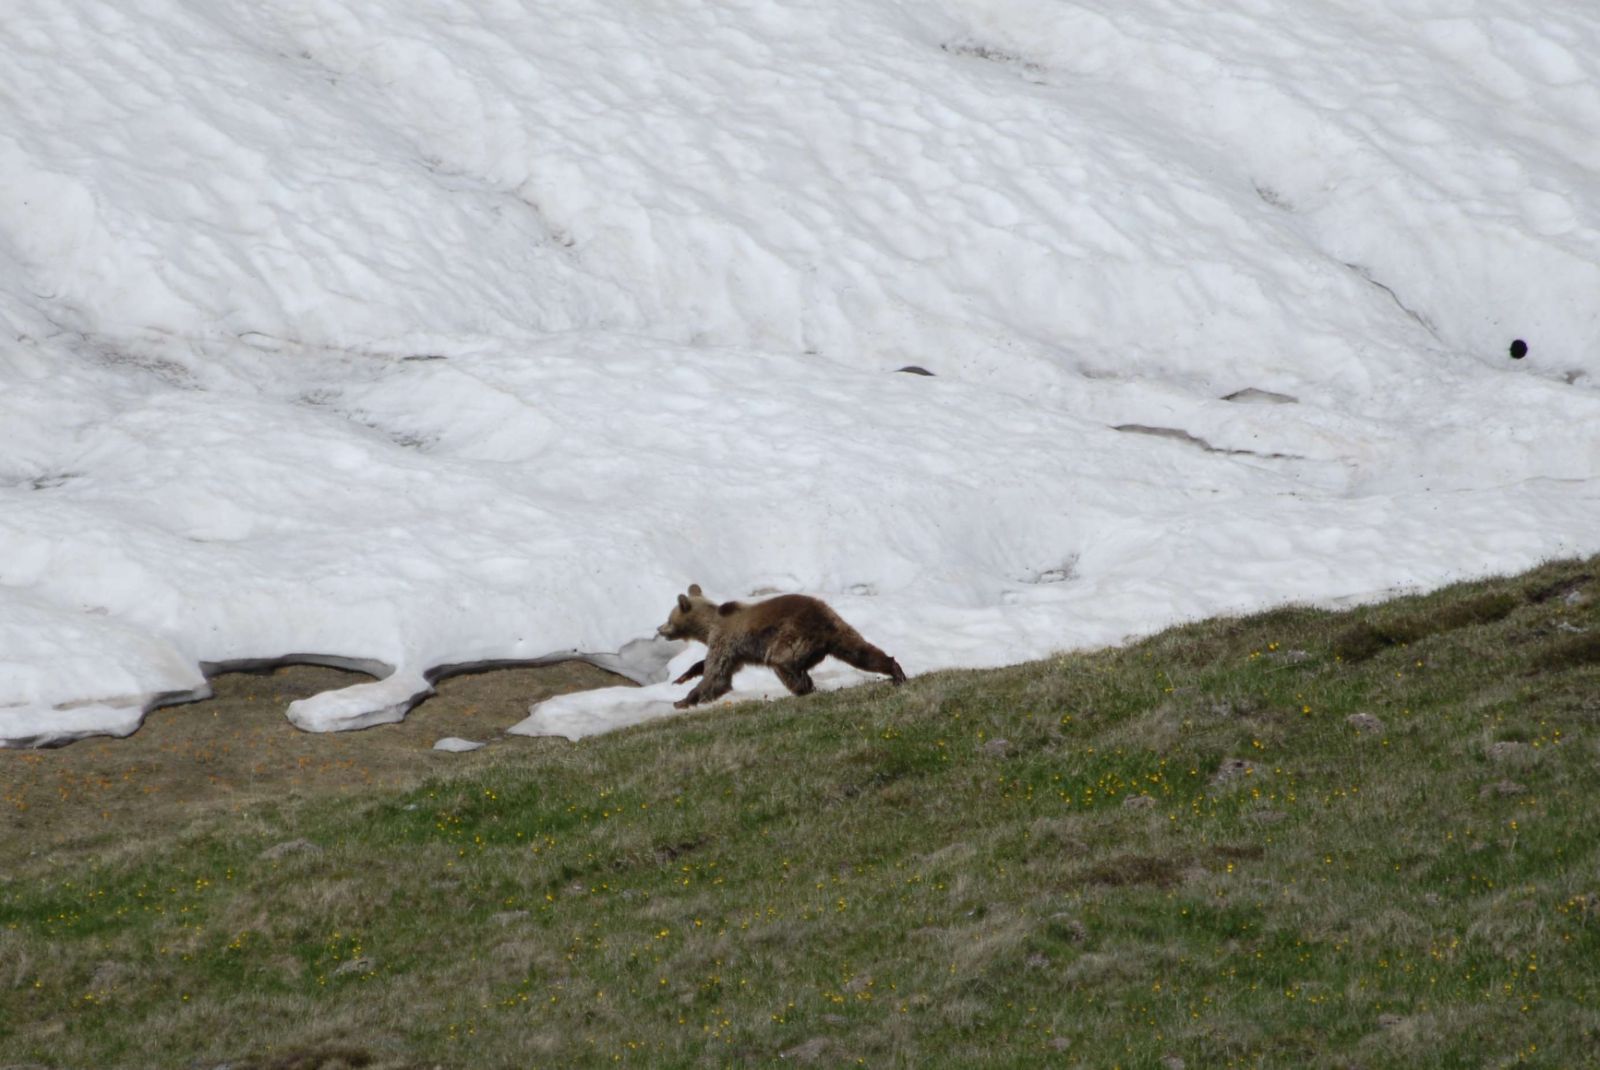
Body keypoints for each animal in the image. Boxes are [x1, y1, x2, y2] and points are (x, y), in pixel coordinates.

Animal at [657, 584, 907, 709]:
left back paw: (804, 688)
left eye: (669, 618)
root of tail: (822, 623)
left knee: (781, 661)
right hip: (839, 630)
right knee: (862, 652)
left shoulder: (726, 640)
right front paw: (683, 677)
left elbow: (716, 676)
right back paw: (896, 672)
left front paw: (683, 700)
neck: (709, 628)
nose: (659, 629)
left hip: (792, 634)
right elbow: (714, 668)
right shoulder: (737, 652)